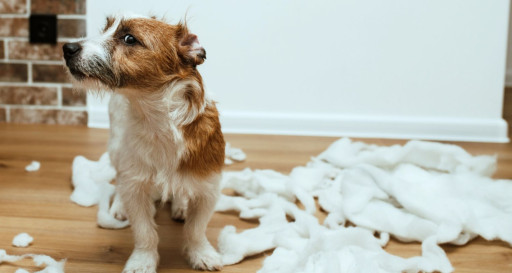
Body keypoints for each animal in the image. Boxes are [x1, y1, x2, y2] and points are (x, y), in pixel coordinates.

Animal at [62, 13, 226, 270]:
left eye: (129, 38)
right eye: (105, 29)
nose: (67, 48)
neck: (158, 122)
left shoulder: (208, 187)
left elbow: (196, 229)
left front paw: (202, 253)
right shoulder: (136, 185)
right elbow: (144, 232)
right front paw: (142, 261)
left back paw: (180, 205)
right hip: (117, 148)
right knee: (120, 180)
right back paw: (120, 206)